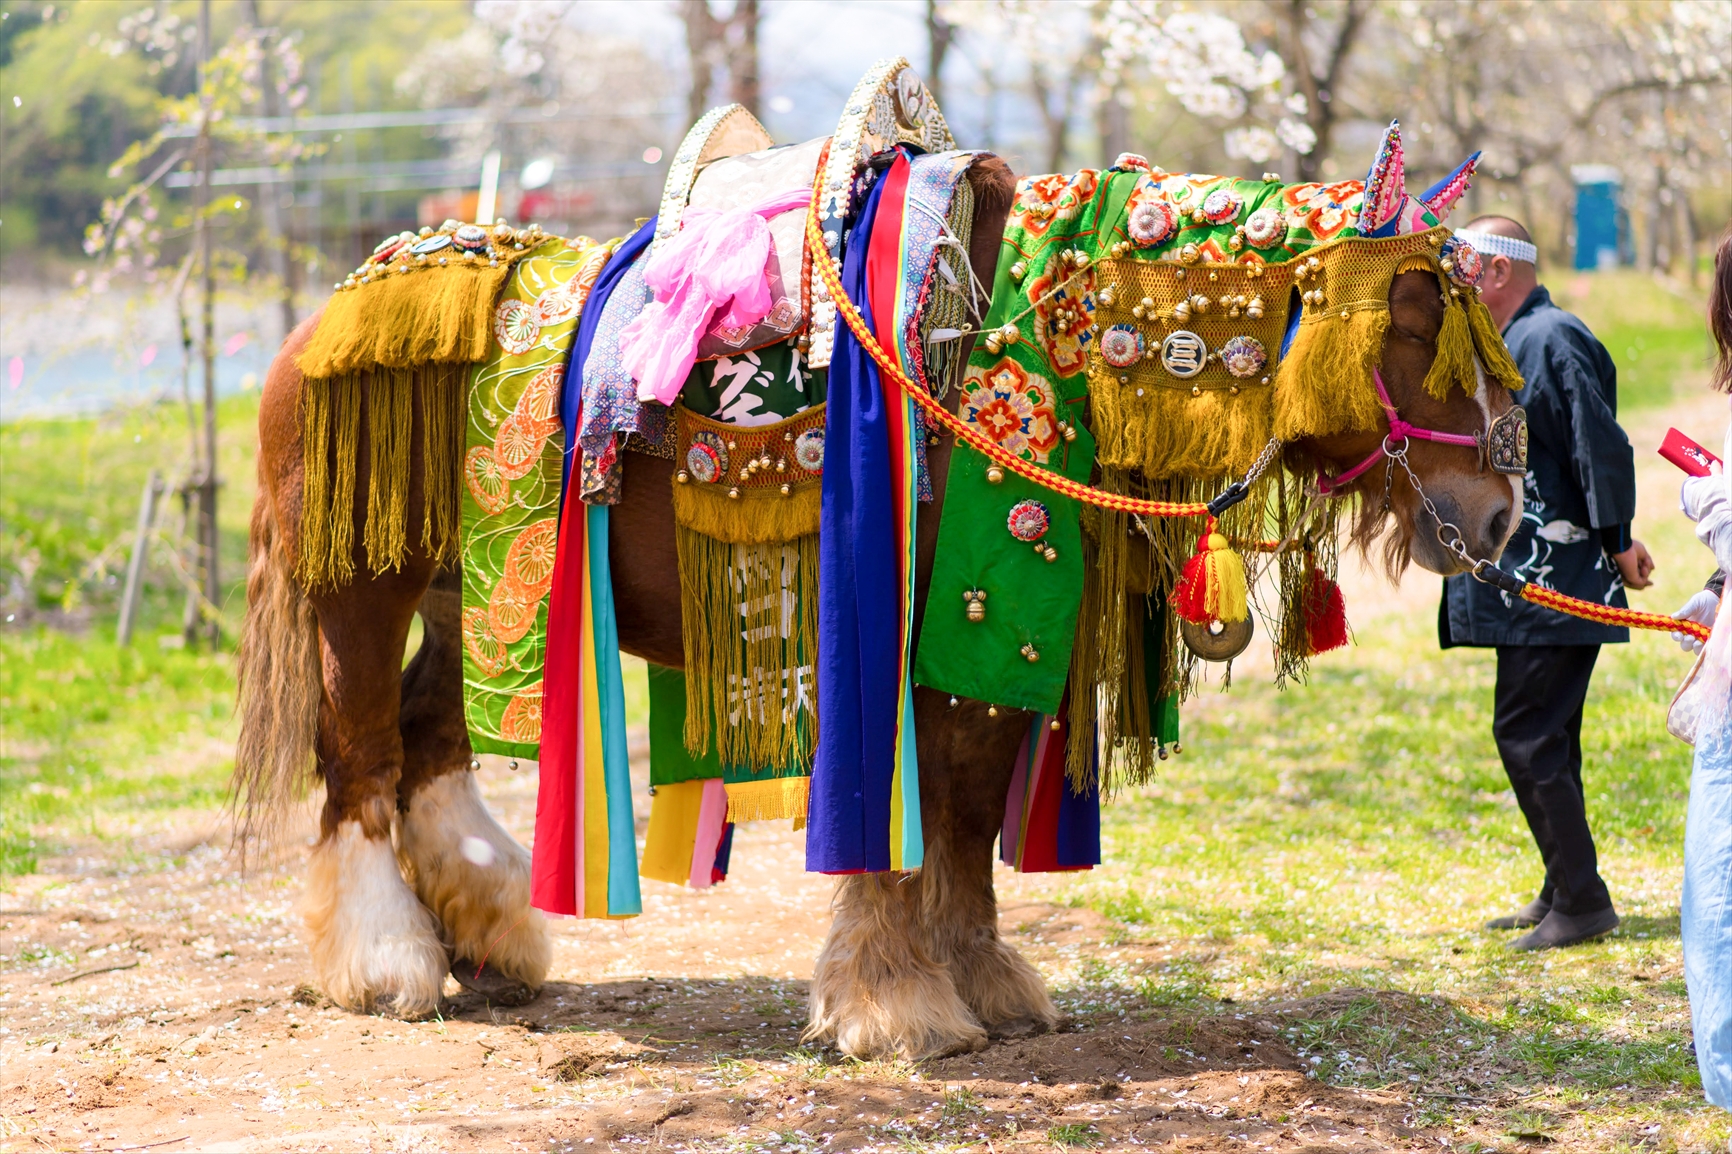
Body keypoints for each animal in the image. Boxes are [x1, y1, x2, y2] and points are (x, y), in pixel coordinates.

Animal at [238, 120, 1523, 1061]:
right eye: (1417, 328)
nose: (1502, 514)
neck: (1010, 339)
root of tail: (318, 320)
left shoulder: (994, 641)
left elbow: (964, 817)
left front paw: (981, 981)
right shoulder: (912, 641)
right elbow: (915, 820)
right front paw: (895, 1003)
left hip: (478, 605)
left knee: (426, 744)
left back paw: (489, 935)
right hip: (365, 597)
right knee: (360, 760)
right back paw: (387, 963)